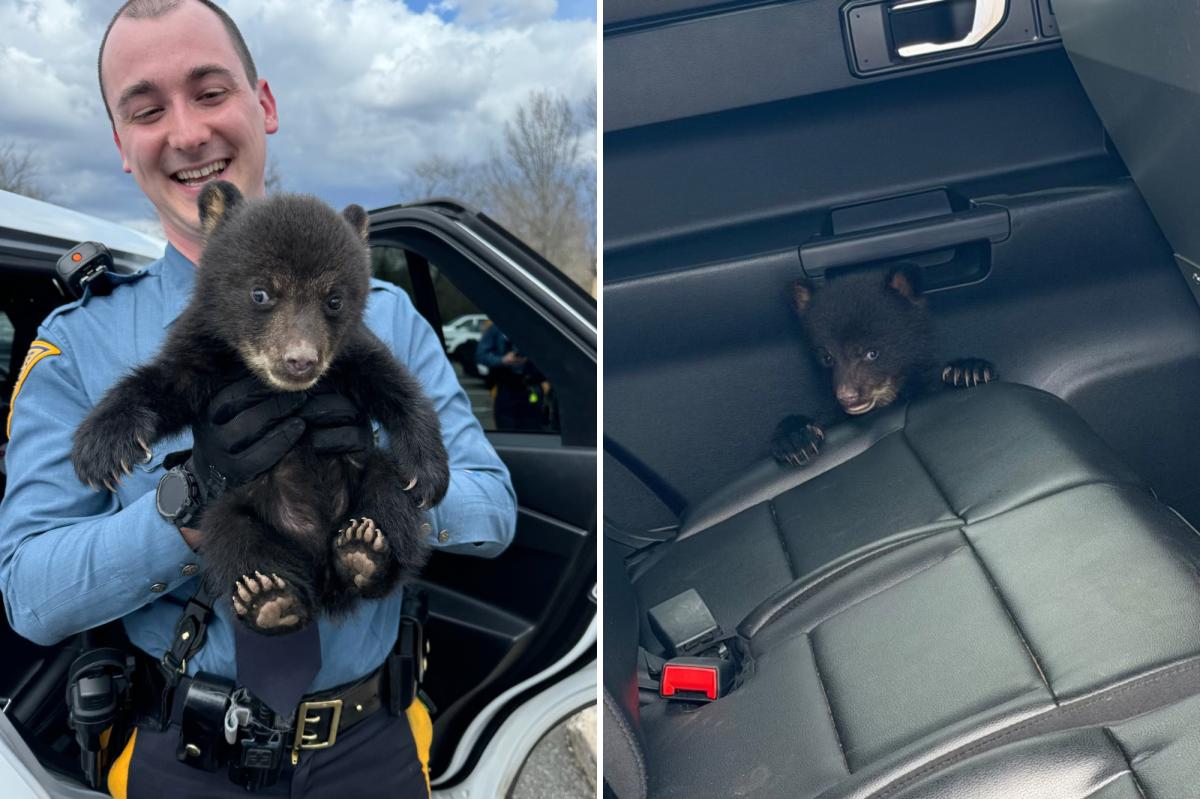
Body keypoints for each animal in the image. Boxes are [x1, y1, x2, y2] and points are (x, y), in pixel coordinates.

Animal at [70, 180, 450, 635]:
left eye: (334, 300)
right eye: (261, 293)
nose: (301, 360)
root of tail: (321, 572)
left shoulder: (349, 353)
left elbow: (396, 386)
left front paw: (428, 474)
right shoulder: (204, 351)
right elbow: (165, 385)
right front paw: (100, 449)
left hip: (369, 476)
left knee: (388, 497)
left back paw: (365, 552)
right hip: (234, 511)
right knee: (232, 539)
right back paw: (270, 599)